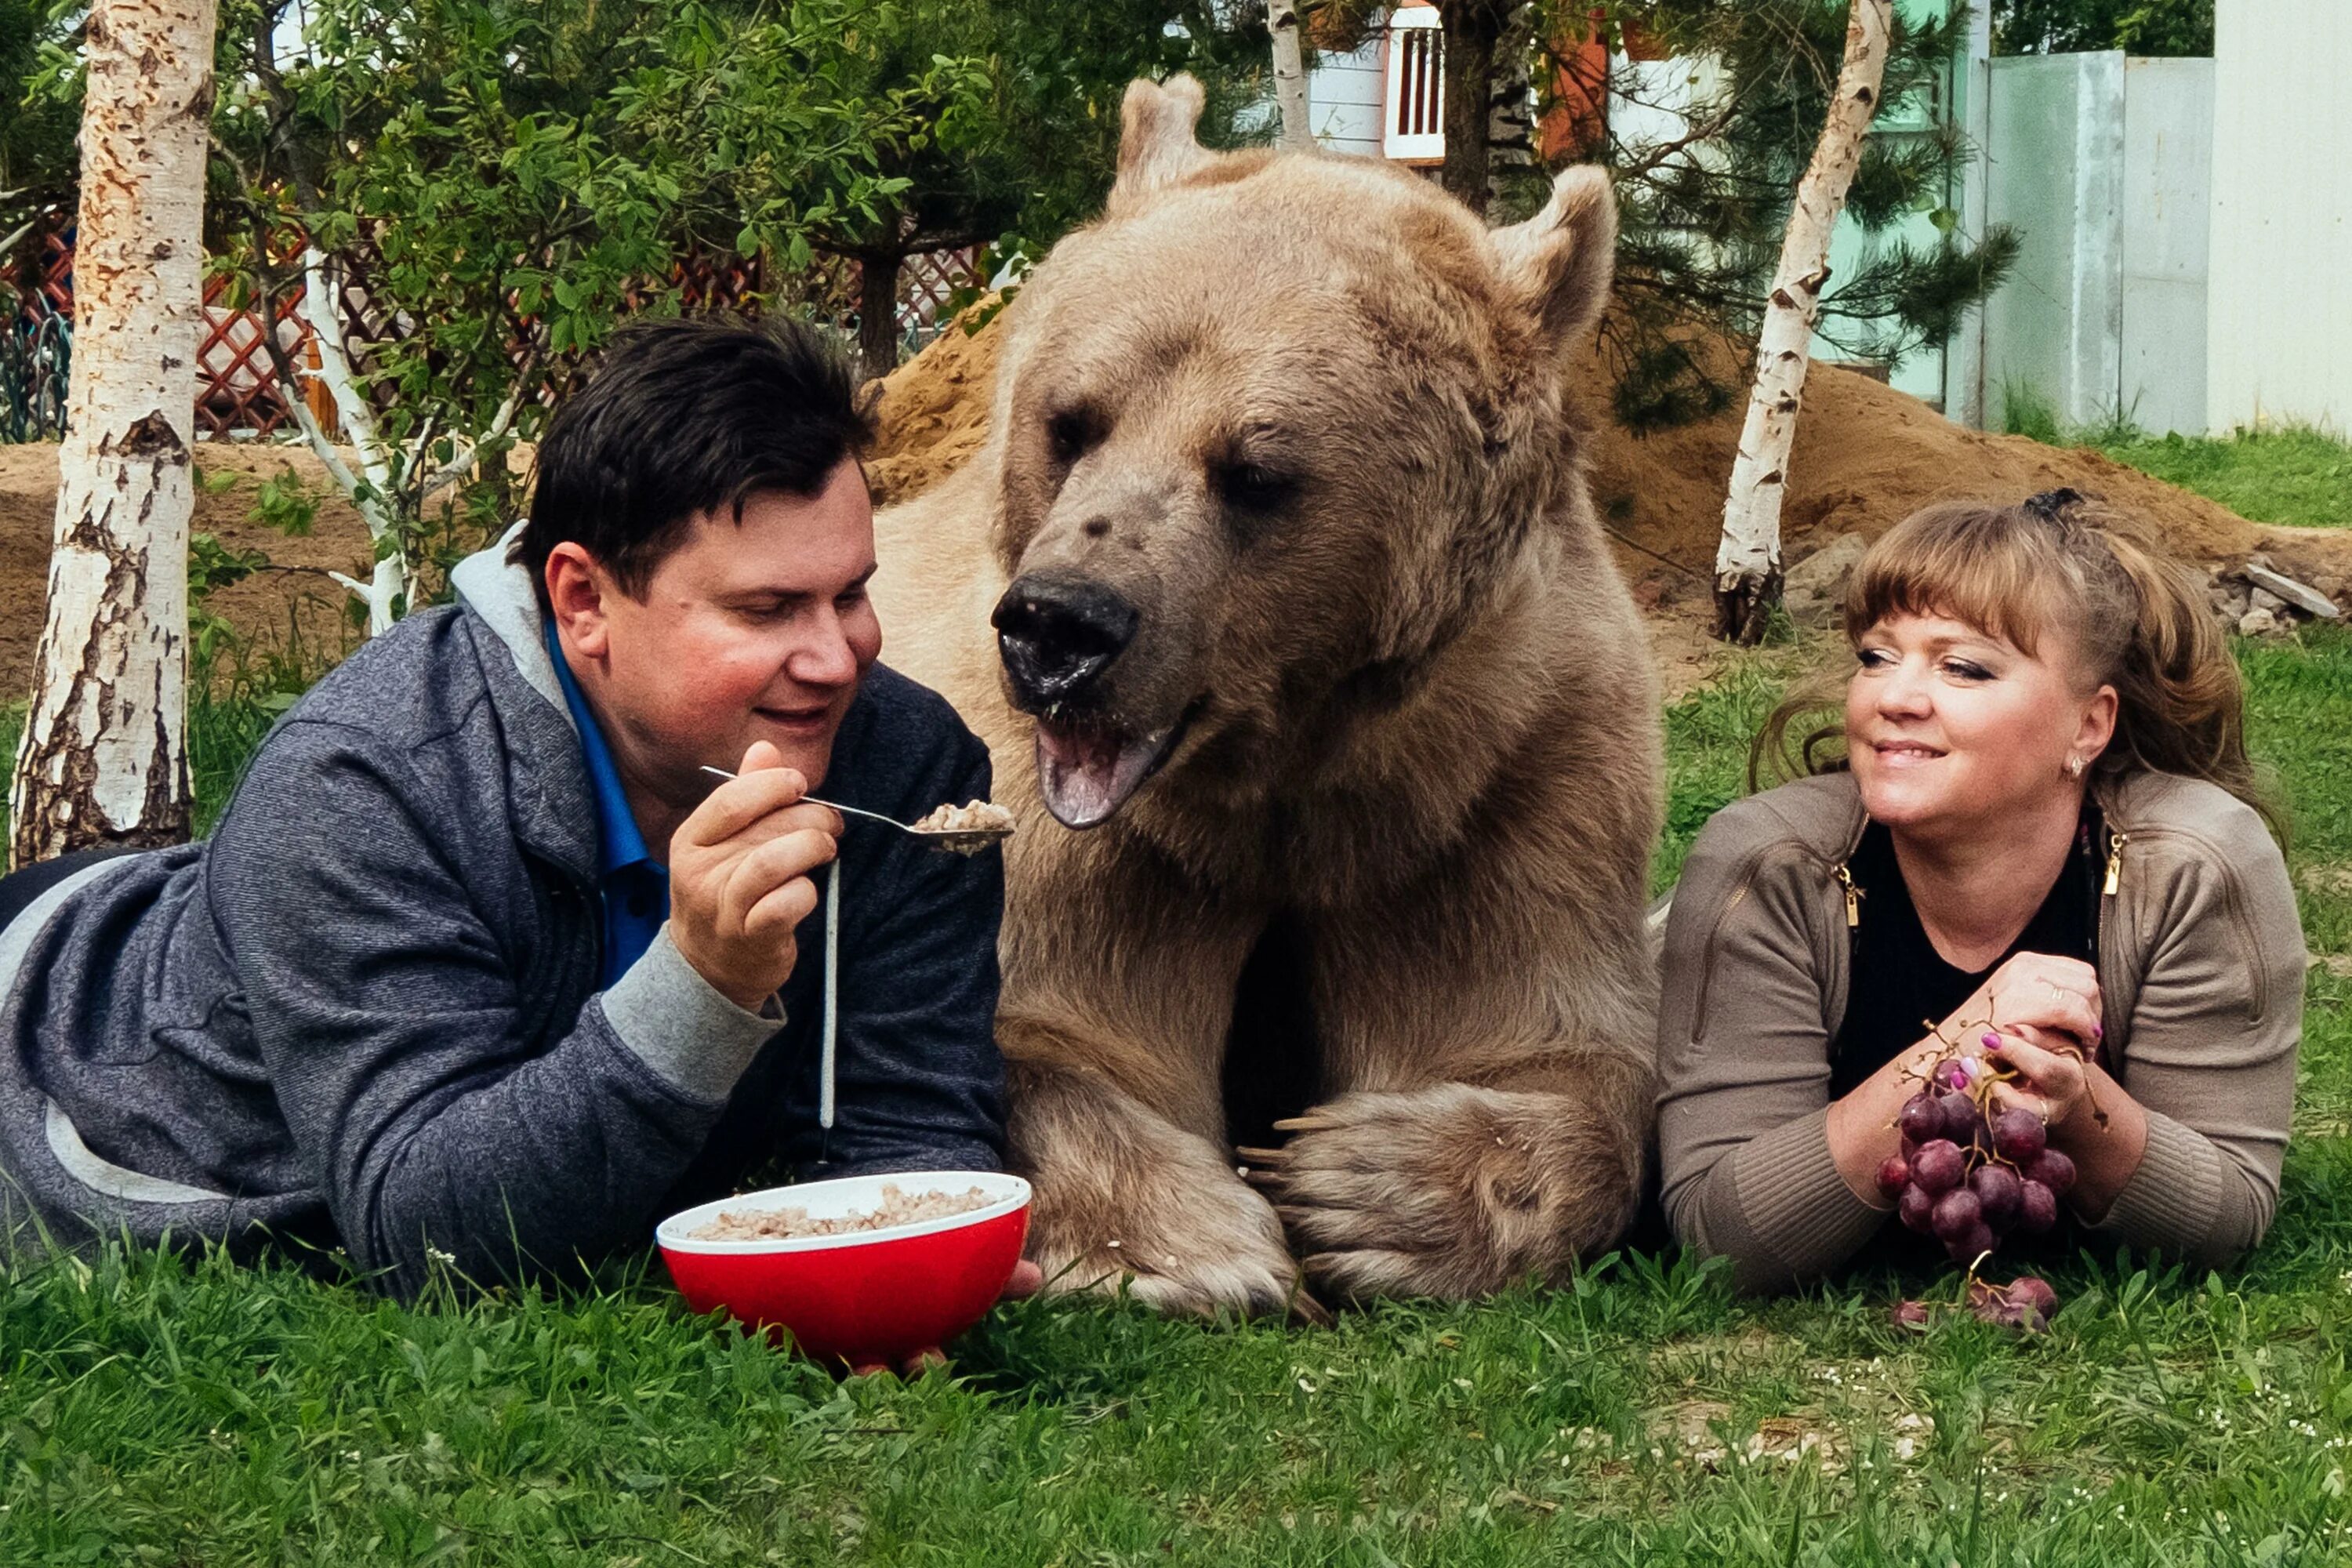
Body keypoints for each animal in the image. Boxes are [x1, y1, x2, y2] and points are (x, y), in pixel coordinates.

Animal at [875, 79, 1665, 1316]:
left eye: (1255, 471)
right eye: (1070, 420)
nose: (1061, 628)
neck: (1284, 783)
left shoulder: (1509, 779)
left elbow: (1545, 1041)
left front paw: (1363, 1187)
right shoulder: (1049, 811)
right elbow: (1041, 1022)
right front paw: (1194, 1241)